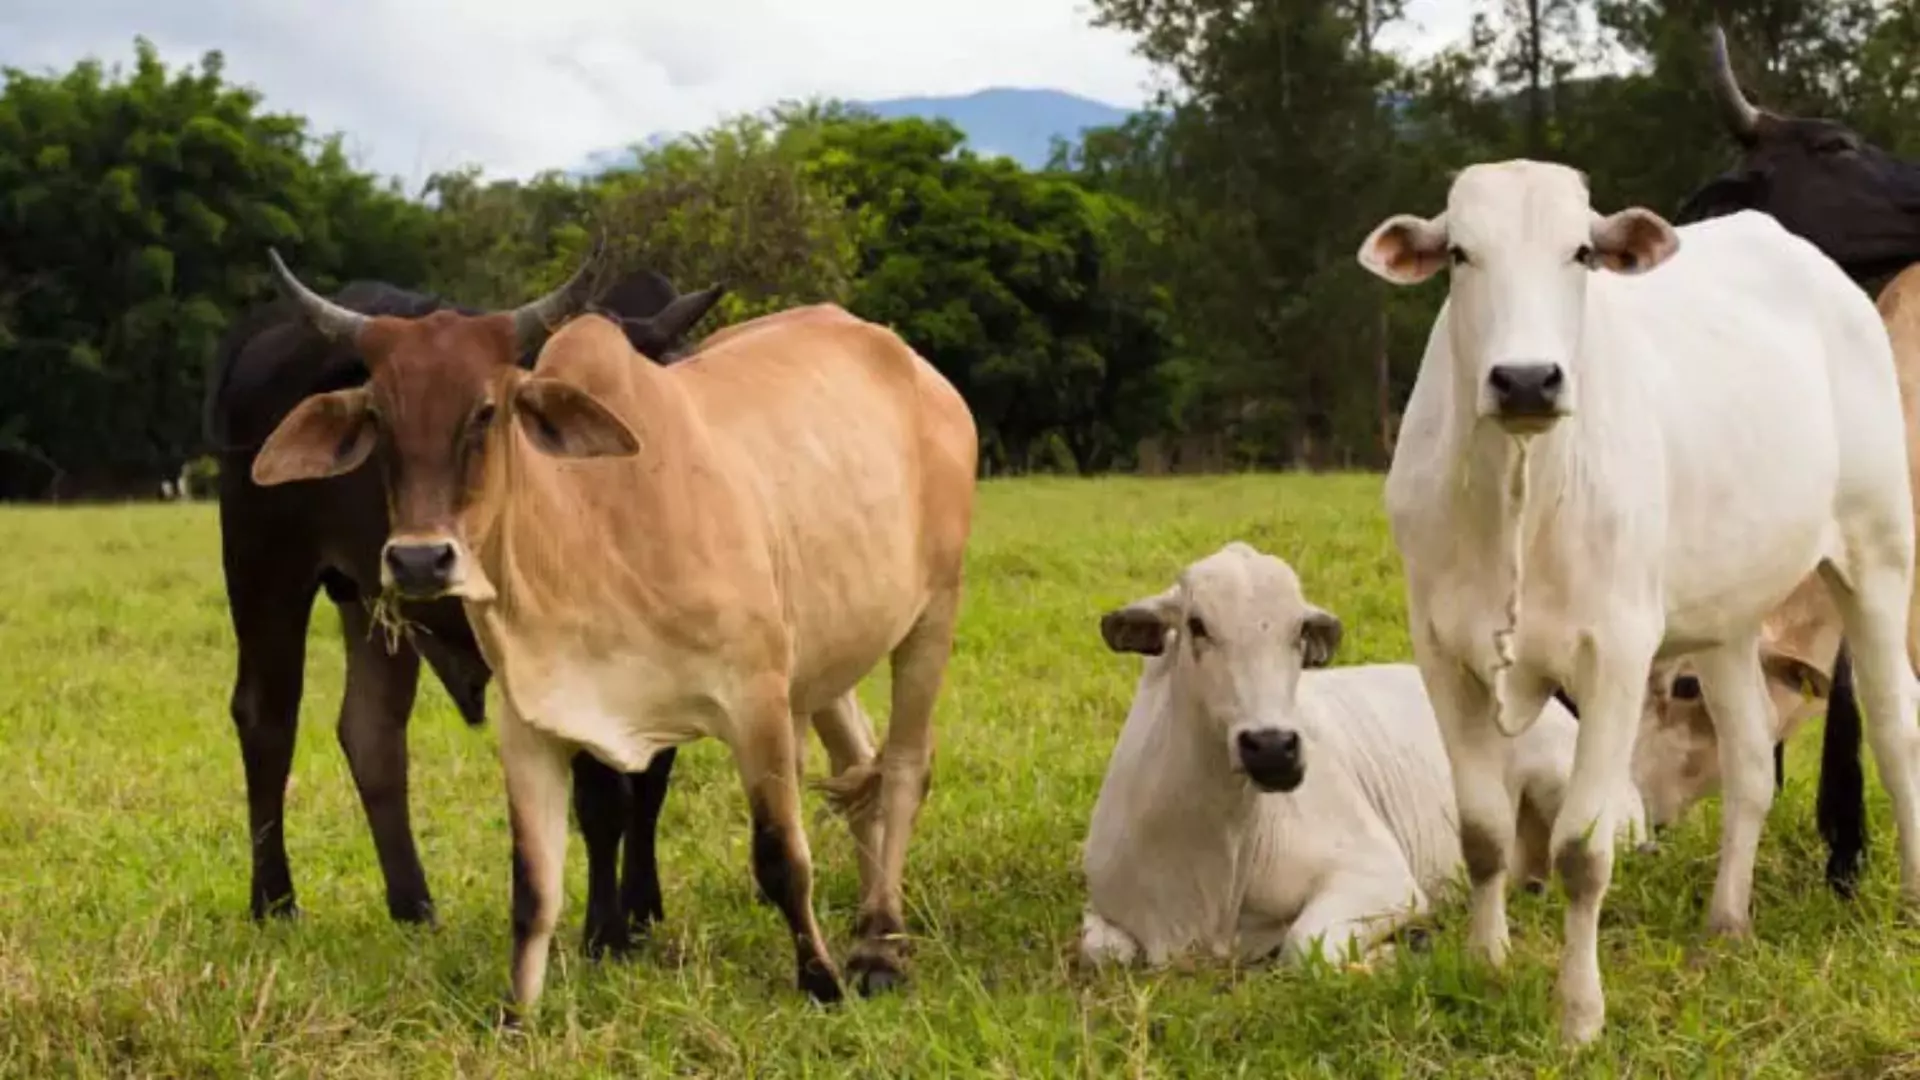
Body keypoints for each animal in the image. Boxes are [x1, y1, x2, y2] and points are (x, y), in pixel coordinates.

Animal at [247, 239, 983, 1014]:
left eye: (487, 411)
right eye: (380, 418)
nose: (419, 559)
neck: (589, 526)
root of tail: (913, 365)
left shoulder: (755, 698)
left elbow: (780, 854)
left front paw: (820, 981)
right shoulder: (532, 719)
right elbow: (536, 885)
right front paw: (523, 1009)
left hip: (931, 611)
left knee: (900, 767)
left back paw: (880, 944)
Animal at [1082, 538, 1651, 968]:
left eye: (1298, 632)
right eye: (1197, 624)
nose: (1273, 748)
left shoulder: (1382, 878)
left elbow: (1303, 947)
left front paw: (1401, 951)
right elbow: (1103, 952)